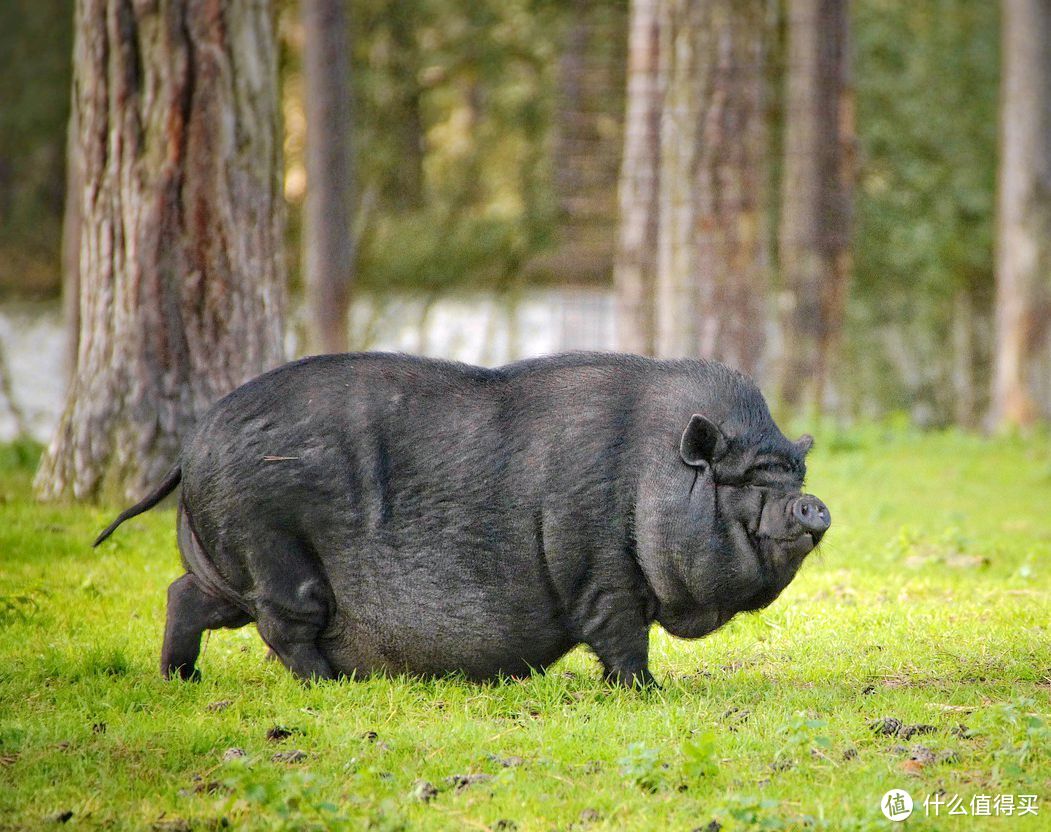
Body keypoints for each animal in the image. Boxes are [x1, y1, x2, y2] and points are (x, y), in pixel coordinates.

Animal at [94, 350, 828, 680]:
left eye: (793, 471)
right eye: (744, 478)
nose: (813, 504)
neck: (650, 475)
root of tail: (190, 448)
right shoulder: (599, 572)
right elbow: (621, 639)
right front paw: (649, 693)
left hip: (226, 560)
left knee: (184, 594)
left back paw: (180, 677)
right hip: (269, 543)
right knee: (285, 626)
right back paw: (329, 684)